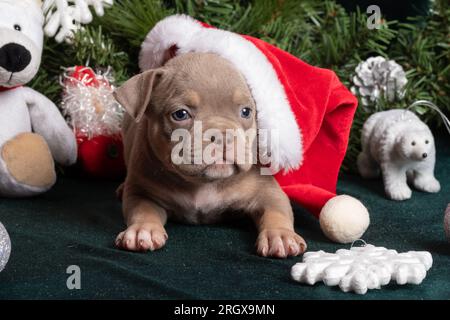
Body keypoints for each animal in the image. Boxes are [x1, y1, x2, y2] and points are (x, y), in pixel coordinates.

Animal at [114, 52, 308, 258]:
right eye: (180, 114)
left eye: (246, 111)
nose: (222, 135)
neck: (203, 183)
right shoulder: (143, 192)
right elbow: (142, 210)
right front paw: (143, 230)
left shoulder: (267, 192)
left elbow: (276, 211)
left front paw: (280, 235)